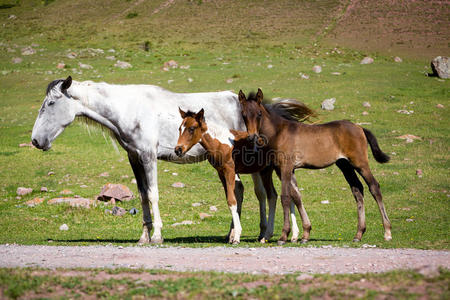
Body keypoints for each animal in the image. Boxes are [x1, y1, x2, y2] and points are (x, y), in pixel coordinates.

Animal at [32, 76, 284, 245]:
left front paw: (157, 235)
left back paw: (261, 233)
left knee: (259, 193)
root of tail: (239, 101)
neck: (128, 109)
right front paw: (143, 236)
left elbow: (153, 194)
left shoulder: (148, 157)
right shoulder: (134, 158)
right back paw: (233, 234)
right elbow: (143, 195)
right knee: (241, 191)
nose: (35, 140)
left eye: (51, 104)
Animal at [241, 88, 392, 245]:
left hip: (360, 163)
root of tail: (359, 128)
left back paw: (387, 232)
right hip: (344, 165)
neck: (279, 132)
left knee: (374, 187)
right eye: (243, 114)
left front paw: (283, 236)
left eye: (259, 113)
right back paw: (358, 234)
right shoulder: (284, 170)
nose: (251, 136)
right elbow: (297, 196)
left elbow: (286, 197)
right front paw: (305, 234)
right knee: (357, 189)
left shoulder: (286, 168)